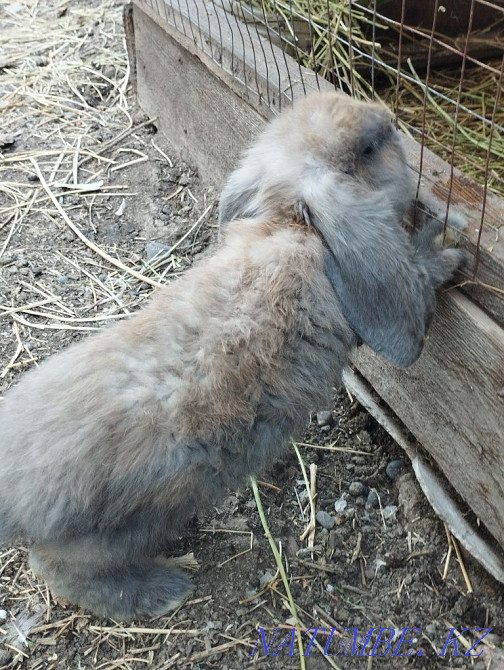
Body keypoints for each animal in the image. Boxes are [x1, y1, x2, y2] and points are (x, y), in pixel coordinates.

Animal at [0, 91, 464, 621]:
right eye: (368, 148)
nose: (388, 117)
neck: (295, 228)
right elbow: (422, 278)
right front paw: (446, 246)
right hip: (114, 534)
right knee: (60, 572)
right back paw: (160, 591)